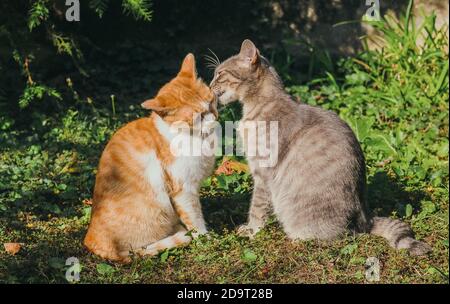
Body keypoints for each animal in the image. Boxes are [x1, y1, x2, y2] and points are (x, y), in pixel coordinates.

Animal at [85, 53, 220, 262]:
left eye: (212, 101)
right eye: (198, 116)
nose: (215, 118)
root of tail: (90, 241)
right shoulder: (183, 191)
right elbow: (194, 218)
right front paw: (205, 238)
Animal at [211, 39, 432, 255]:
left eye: (219, 74)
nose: (209, 84)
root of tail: (367, 220)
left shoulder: (262, 173)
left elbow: (256, 208)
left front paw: (252, 231)